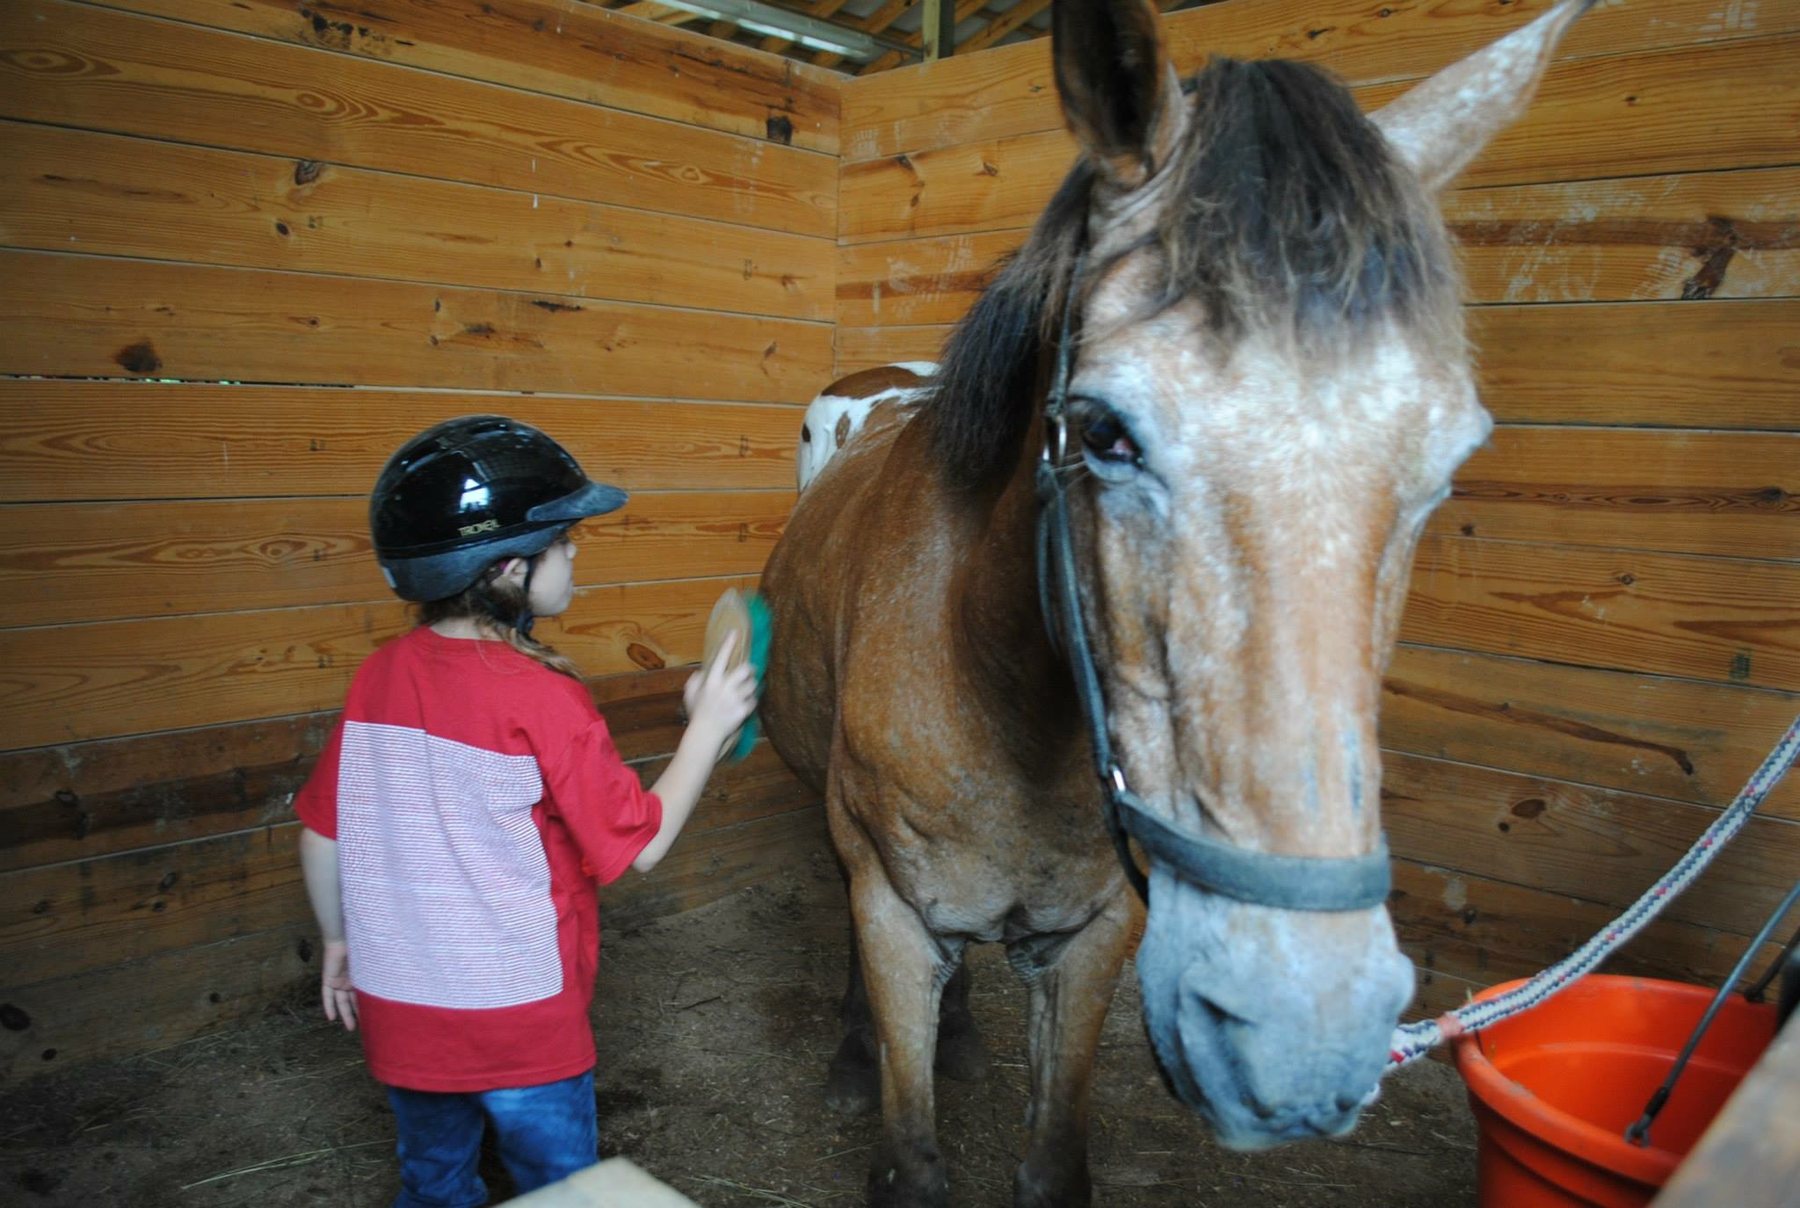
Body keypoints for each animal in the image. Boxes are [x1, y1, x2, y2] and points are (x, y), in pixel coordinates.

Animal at [760, 1, 1596, 1203]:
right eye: (1103, 430)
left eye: (1447, 460)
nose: (1302, 1020)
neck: (1000, 699)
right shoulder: (892, 912)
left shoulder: (1097, 936)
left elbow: (1054, 1159)